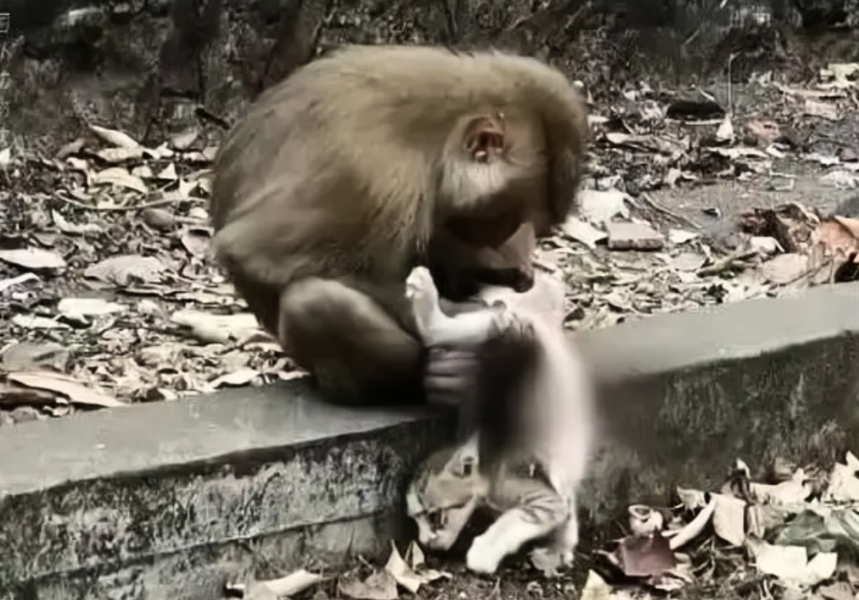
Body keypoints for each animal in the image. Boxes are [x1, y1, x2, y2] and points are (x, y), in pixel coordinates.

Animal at [208, 44, 592, 406]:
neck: (436, 140)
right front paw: (485, 318)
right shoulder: (369, 174)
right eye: (505, 217)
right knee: (311, 302)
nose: (515, 253)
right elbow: (249, 251)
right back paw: (433, 374)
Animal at [404, 268, 596, 576]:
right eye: (415, 519)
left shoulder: (541, 496)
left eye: (435, 517)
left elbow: (521, 518)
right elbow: (567, 506)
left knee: (501, 318)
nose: (424, 542)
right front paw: (562, 545)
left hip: (525, 330)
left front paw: (487, 551)